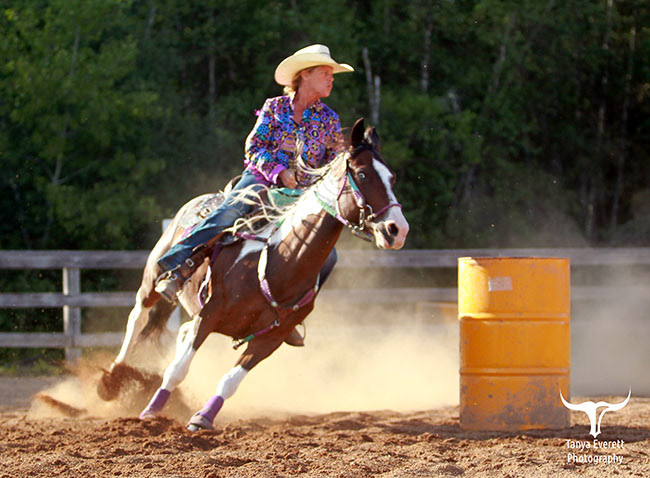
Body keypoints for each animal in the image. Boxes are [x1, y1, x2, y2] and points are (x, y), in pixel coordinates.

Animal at [97, 118, 409, 431]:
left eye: (392, 178)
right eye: (362, 174)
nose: (397, 230)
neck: (281, 261)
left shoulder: (271, 337)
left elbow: (230, 381)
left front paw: (203, 417)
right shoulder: (210, 313)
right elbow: (178, 369)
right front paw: (151, 411)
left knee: (181, 330)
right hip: (153, 278)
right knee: (137, 318)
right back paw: (113, 378)